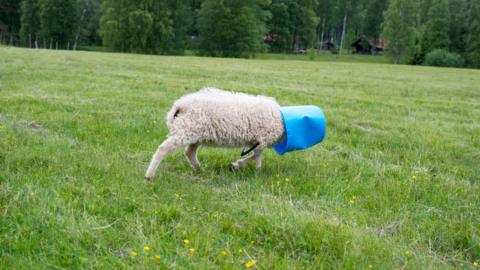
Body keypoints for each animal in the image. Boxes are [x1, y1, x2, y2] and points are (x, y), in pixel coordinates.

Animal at [144, 87, 284, 180]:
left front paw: (244, 167)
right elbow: (257, 155)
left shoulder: (255, 141)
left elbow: (257, 155)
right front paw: (249, 168)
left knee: (189, 152)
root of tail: (179, 106)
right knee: (163, 148)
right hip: (185, 131)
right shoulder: (261, 139)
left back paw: (199, 169)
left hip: (195, 133)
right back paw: (149, 175)